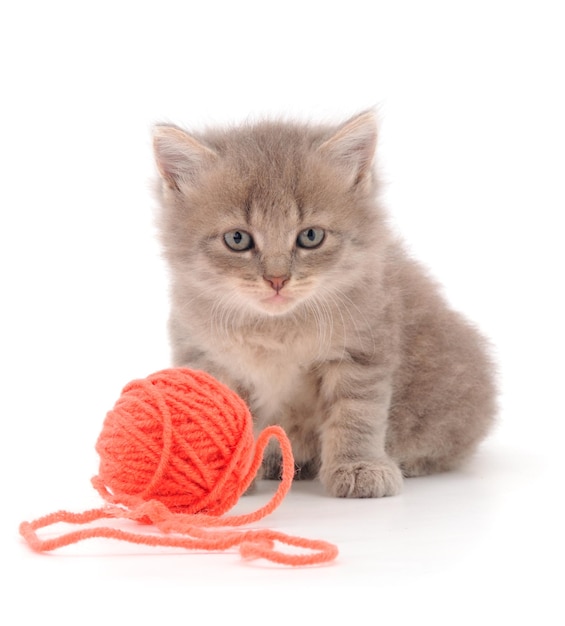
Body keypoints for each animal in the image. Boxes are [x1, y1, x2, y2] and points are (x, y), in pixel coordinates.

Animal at [152, 108, 496, 498]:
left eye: (311, 236)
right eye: (237, 239)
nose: (277, 279)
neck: (275, 330)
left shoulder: (363, 348)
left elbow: (355, 414)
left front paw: (359, 467)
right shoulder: (206, 358)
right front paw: (224, 476)